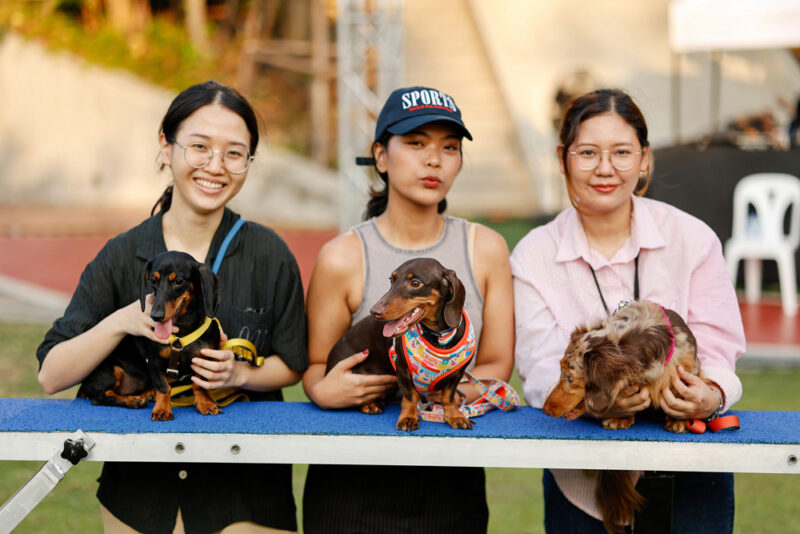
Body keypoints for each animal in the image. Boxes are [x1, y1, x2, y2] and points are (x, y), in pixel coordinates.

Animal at [325, 257, 474, 431]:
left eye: (415, 283)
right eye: (392, 279)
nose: (374, 311)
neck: (438, 337)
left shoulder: (456, 375)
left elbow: (448, 397)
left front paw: (455, 416)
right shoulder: (402, 369)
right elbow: (410, 396)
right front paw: (408, 417)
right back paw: (370, 404)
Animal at [543, 299, 702, 533]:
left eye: (569, 377)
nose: (545, 408)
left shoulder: (687, 367)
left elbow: (681, 390)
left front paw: (679, 419)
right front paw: (620, 418)